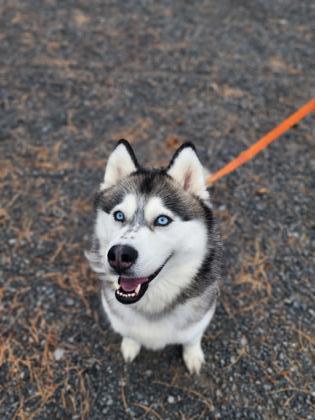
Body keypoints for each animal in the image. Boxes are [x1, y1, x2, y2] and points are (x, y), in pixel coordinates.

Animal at [86, 139, 223, 372]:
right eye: (119, 215)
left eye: (162, 220)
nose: (119, 255)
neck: (152, 303)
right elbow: (130, 333)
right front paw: (130, 345)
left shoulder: (200, 318)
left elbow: (192, 338)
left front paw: (193, 355)